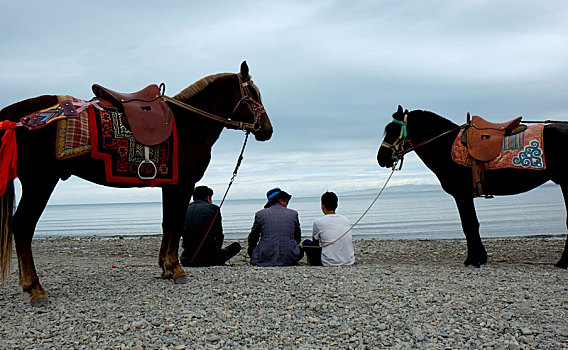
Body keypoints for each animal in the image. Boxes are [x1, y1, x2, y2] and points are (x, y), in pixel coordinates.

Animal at [0, 61, 272, 304]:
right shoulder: (183, 184)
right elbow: (176, 223)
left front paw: (165, 267)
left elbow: (167, 224)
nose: (267, 130)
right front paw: (176, 269)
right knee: (23, 226)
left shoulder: (170, 185)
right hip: (40, 181)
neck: (190, 124)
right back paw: (35, 288)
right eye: (253, 94)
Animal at [378, 105, 568, 266]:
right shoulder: (464, 195)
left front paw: (473, 259)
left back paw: (563, 262)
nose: (381, 158)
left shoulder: (462, 194)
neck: (445, 145)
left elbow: (469, 225)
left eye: (393, 130)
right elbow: (471, 225)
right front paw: (479, 257)